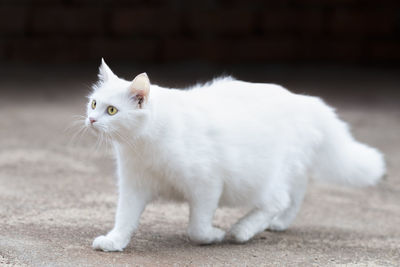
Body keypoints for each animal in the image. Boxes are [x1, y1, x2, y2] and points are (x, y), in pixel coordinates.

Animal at [86, 59, 384, 252]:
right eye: (94, 103)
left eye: (111, 110)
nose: (90, 119)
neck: (142, 146)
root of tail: (304, 100)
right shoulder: (133, 186)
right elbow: (124, 218)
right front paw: (115, 241)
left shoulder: (206, 184)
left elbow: (197, 228)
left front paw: (213, 236)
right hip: (287, 170)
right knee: (294, 195)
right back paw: (277, 223)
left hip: (262, 177)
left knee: (278, 200)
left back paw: (242, 230)